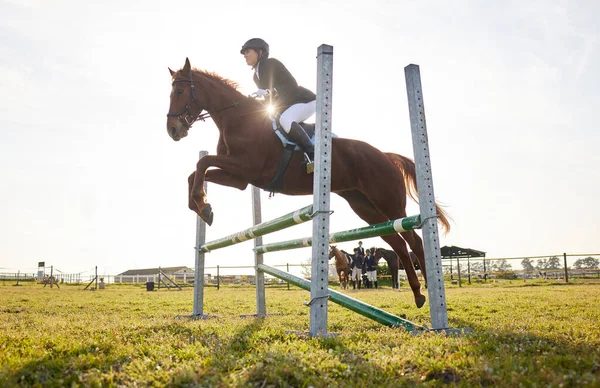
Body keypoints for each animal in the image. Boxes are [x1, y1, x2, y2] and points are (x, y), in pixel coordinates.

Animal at [165, 57, 450, 308]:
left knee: (414, 240)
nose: (173, 130)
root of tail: (386, 156)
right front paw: (202, 207)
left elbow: (202, 163)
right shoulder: (240, 178)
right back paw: (417, 294)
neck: (240, 120)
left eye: (179, 91)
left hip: (388, 202)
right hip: (365, 207)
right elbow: (196, 172)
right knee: (397, 242)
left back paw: (431, 289)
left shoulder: (246, 169)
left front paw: (202, 205)